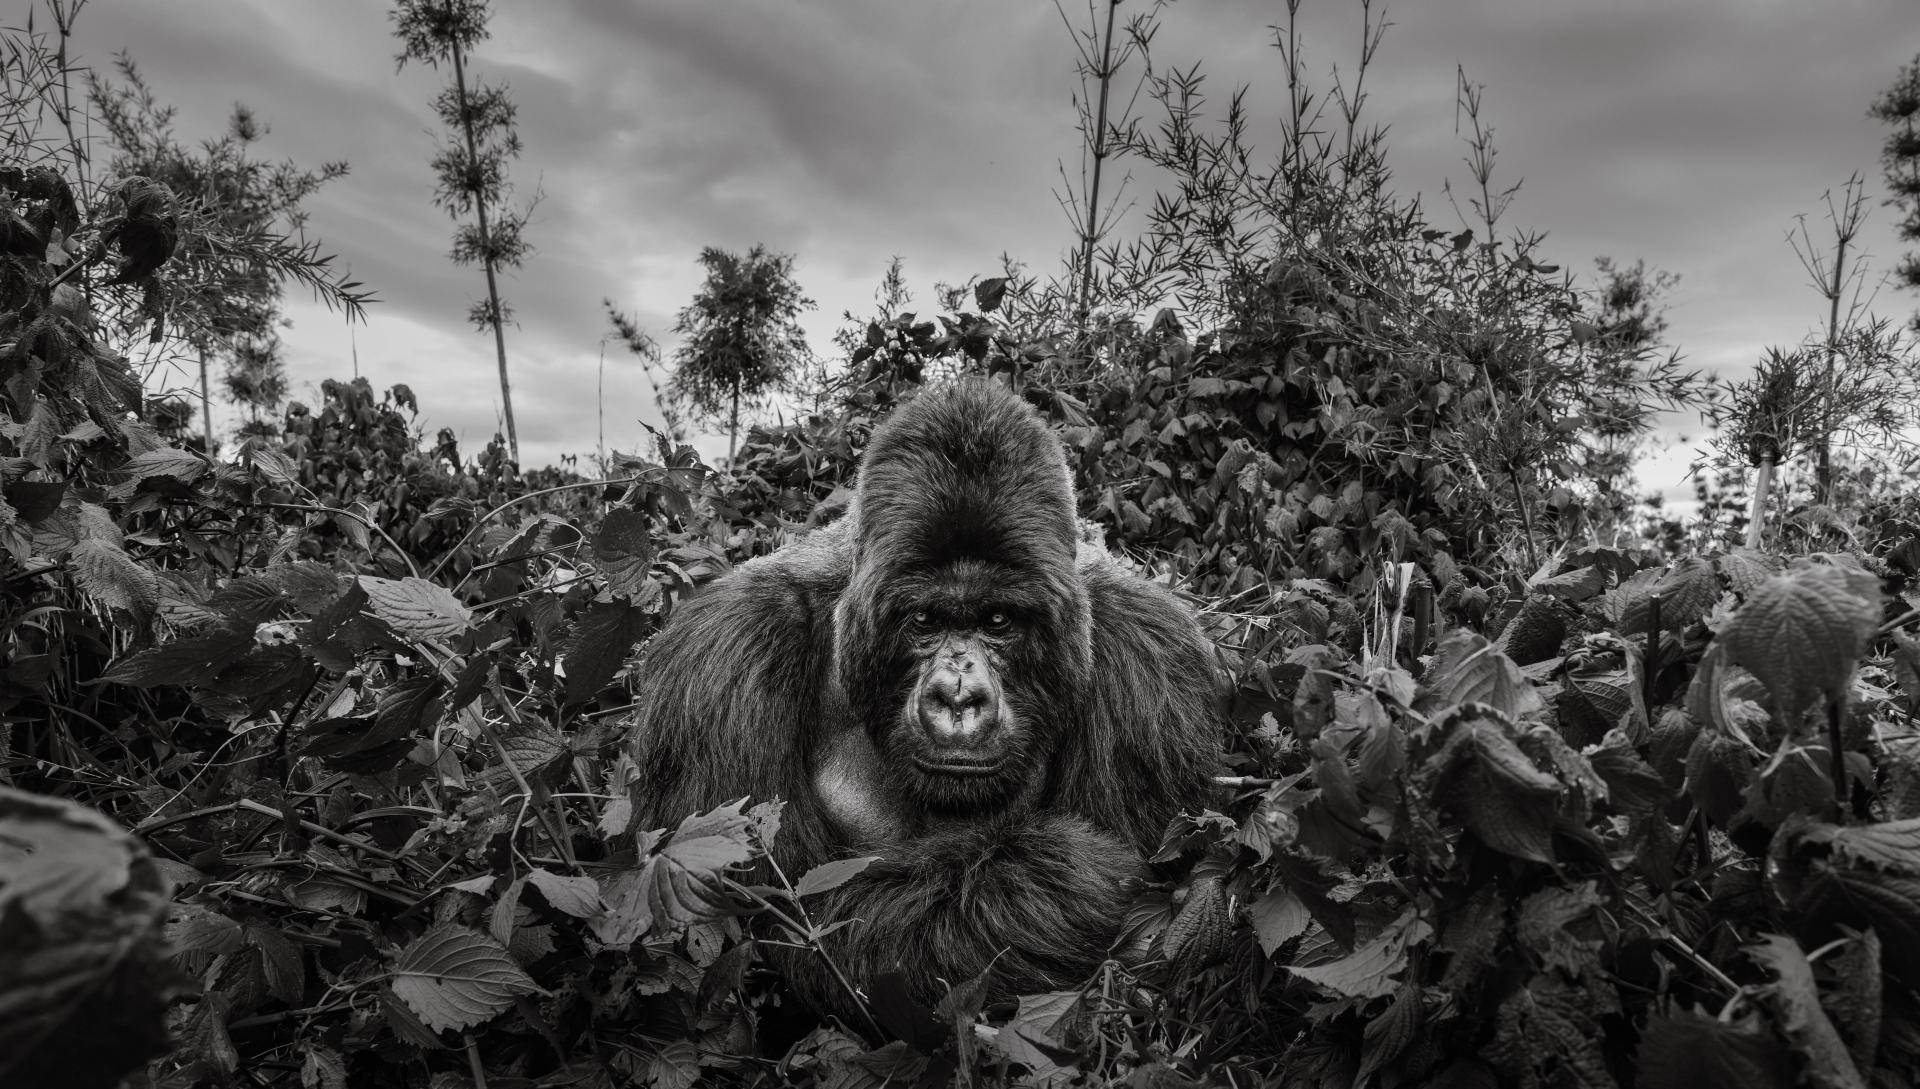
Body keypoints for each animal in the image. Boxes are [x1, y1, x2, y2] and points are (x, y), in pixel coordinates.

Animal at [637, 378, 1221, 1021]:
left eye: (998, 621)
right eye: (924, 620)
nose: (958, 697)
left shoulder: (1146, 648)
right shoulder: (727, 648)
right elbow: (780, 909)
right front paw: (1084, 878)